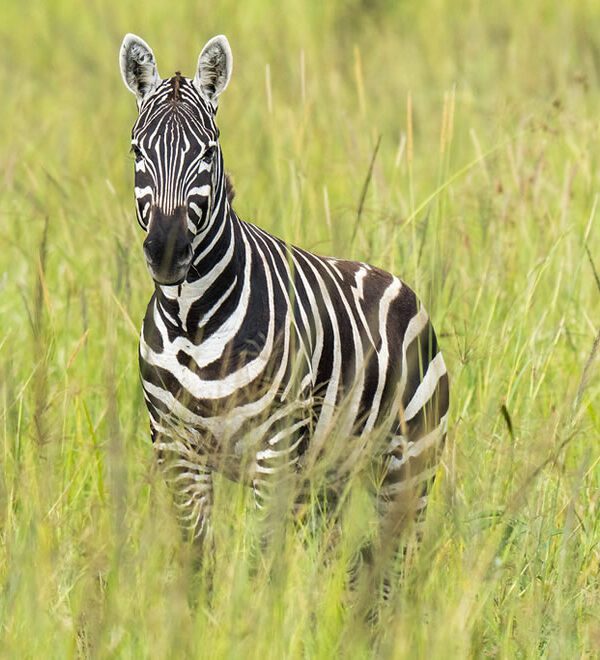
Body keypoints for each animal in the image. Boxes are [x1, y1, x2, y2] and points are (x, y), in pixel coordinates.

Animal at [119, 34, 449, 574]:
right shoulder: (176, 450)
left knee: (393, 567)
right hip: (330, 475)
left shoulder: (272, 453)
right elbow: (199, 566)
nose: (168, 251)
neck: (192, 322)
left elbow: (259, 566)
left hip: (407, 464)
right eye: (136, 150)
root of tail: (395, 281)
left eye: (208, 152)